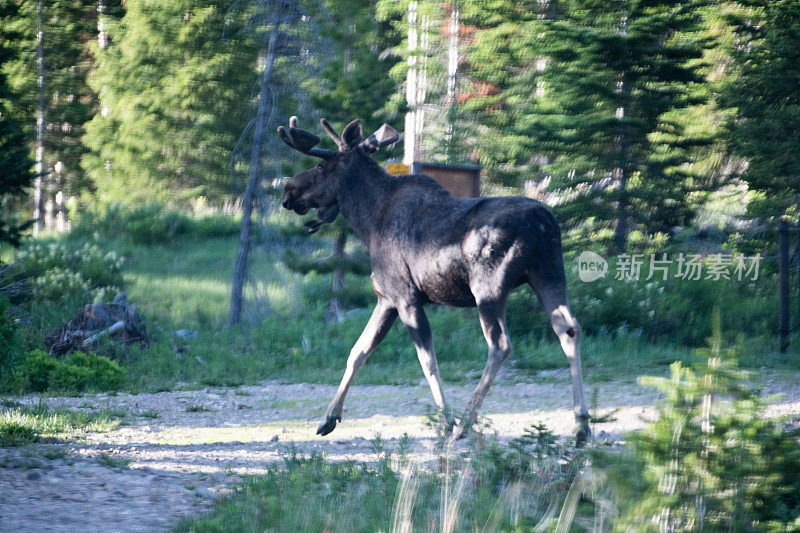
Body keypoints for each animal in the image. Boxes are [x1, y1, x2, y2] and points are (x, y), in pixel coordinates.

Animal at [278, 117, 592, 444]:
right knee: (569, 330)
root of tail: (545, 222)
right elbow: (358, 352)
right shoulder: (386, 299)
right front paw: (328, 418)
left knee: (500, 344)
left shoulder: (406, 297)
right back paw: (582, 424)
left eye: (322, 165)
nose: (288, 191)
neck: (367, 221)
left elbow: (427, 361)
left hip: (489, 289)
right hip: (549, 274)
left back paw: (465, 424)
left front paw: (447, 422)